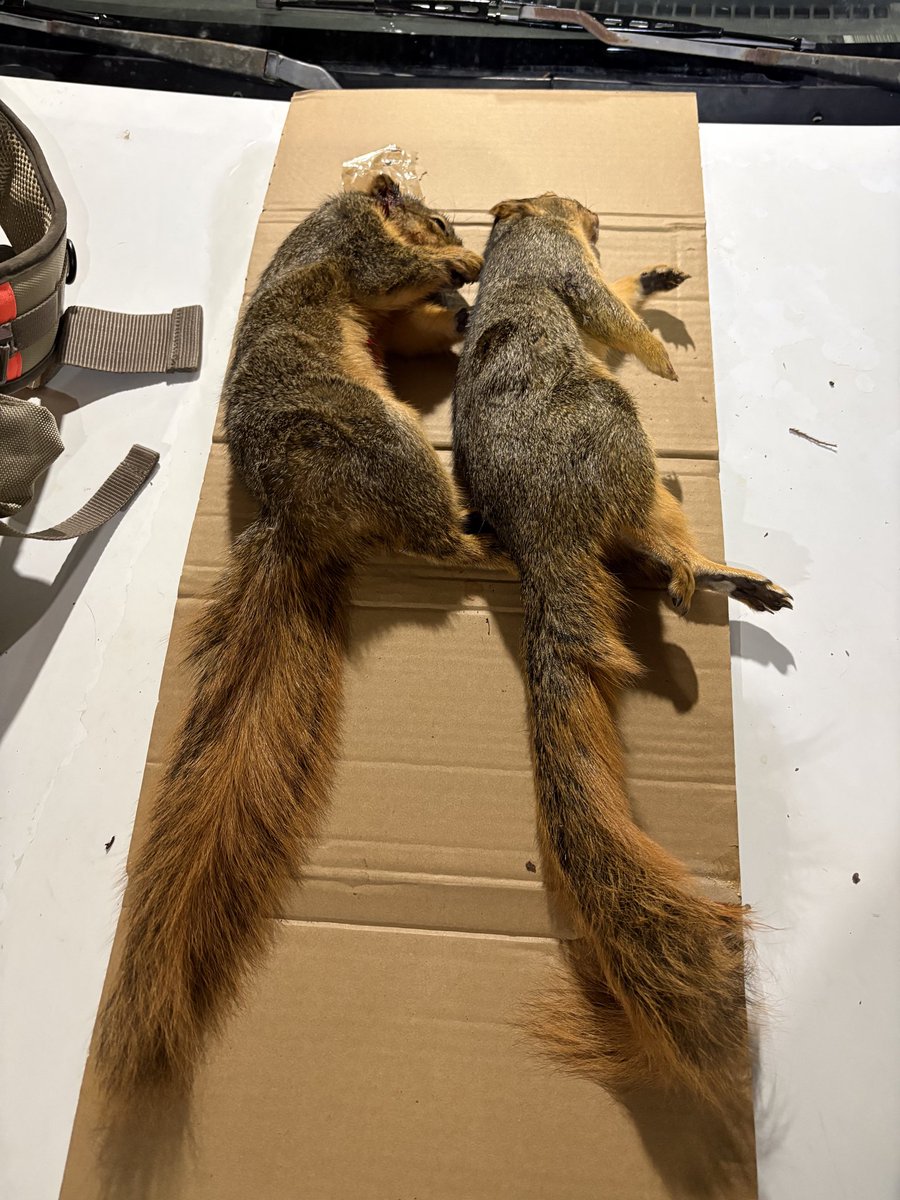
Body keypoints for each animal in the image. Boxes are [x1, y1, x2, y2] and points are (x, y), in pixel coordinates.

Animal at [95, 174, 491, 1101]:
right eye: (434, 216)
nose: (461, 245)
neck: (347, 209)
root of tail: (300, 520)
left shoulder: (386, 312)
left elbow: (406, 322)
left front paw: (456, 309)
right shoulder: (354, 249)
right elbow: (392, 272)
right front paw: (460, 269)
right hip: (386, 446)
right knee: (434, 541)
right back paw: (486, 545)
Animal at [452, 192, 792, 1101]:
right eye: (565, 201)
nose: (596, 212)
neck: (515, 233)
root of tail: (542, 538)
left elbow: (622, 307)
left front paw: (661, 277)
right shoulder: (567, 273)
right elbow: (611, 316)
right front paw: (663, 354)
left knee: (641, 555)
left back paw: (721, 581)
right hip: (616, 436)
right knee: (653, 540)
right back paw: (693, 572)